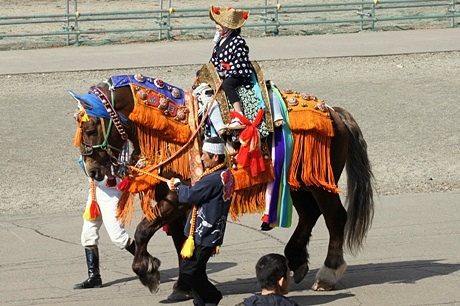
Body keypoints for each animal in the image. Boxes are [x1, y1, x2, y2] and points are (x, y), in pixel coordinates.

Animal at [71, 73, 374, 296]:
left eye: (89, 129)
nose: (92, 170)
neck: (178, 131)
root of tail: (333, 111)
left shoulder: (180, 196)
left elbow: (144, 230)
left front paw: (148, 271)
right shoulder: (177, 199)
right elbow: (180, 240)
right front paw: (184, 285)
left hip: (320, 184)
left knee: (335, 218)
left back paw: (328, 274)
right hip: (298, 183)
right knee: (310, 215)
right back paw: (296, 260)